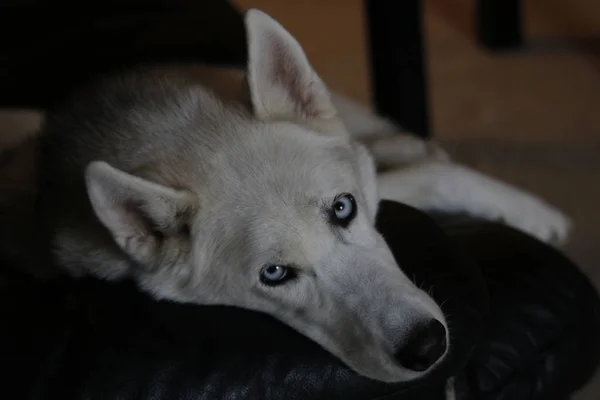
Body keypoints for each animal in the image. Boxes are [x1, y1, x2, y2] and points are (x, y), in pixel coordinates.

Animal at [0, 7, 568, 388]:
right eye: (274, 274)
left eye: (343, 208)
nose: (427, 348)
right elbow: (423, 175)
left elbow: (424, 173)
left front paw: (533, 211)